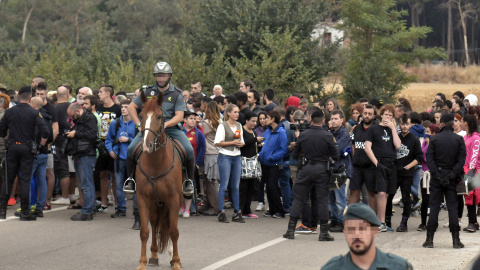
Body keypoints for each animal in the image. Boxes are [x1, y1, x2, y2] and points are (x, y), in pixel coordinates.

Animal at [136, 91, 183, 270]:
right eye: (141, 116)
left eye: (159, 116)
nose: (147, 145)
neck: (156, 162)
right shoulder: (143, 199)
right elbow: (144, 231)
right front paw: (142, 262)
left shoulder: (174, 199)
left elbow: (174, 231)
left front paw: (176, 261)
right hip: (155, 203)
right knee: (156, 223)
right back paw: (154, 255)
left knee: (170, 225)